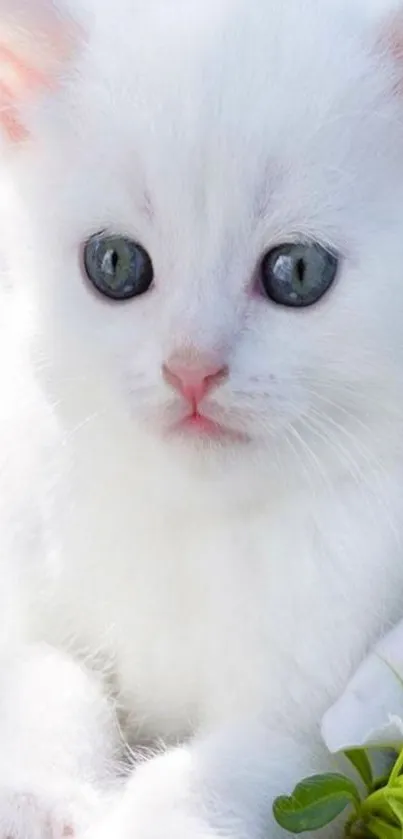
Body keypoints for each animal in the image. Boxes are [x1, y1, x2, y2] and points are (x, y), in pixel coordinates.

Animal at [0, 0, 403, 836]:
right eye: (116, 263)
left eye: (296, 271)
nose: (191, 367)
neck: (193, 518)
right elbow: (44, 673)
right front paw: (36, 797)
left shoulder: (308, 733)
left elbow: (213, 779)